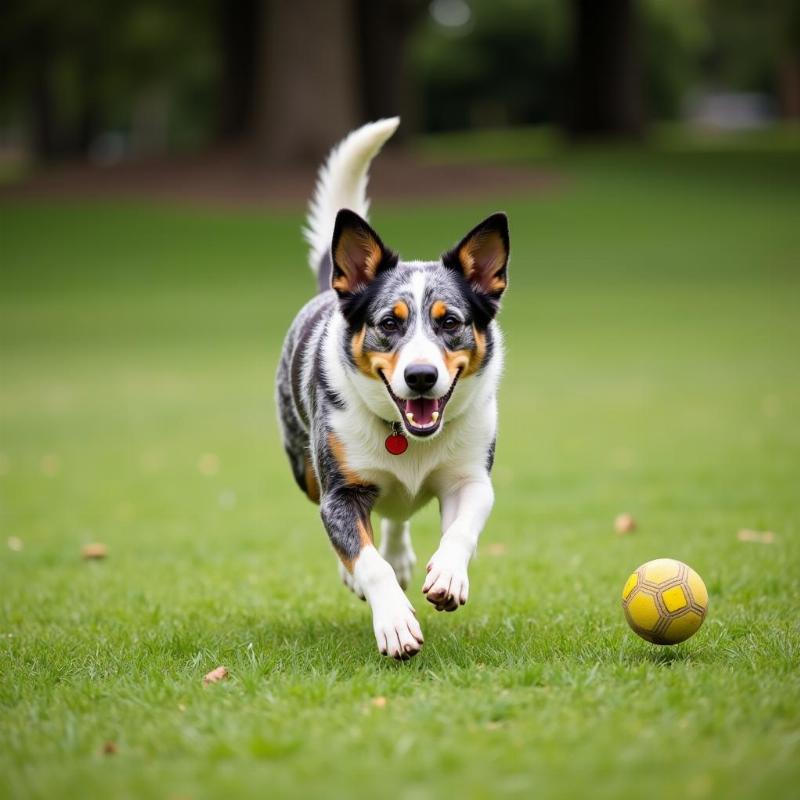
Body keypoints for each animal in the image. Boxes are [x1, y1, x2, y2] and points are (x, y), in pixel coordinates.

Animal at [278, 117, 510, 656]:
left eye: (450, 322)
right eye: (389, 322)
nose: (421, 376)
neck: (407, 438)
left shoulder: (472, 477)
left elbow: (463, 527)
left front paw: (447, 575)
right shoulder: (338, 492)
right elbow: (366, 559)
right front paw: (394, 621)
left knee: (397, 512)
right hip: (304, 468)